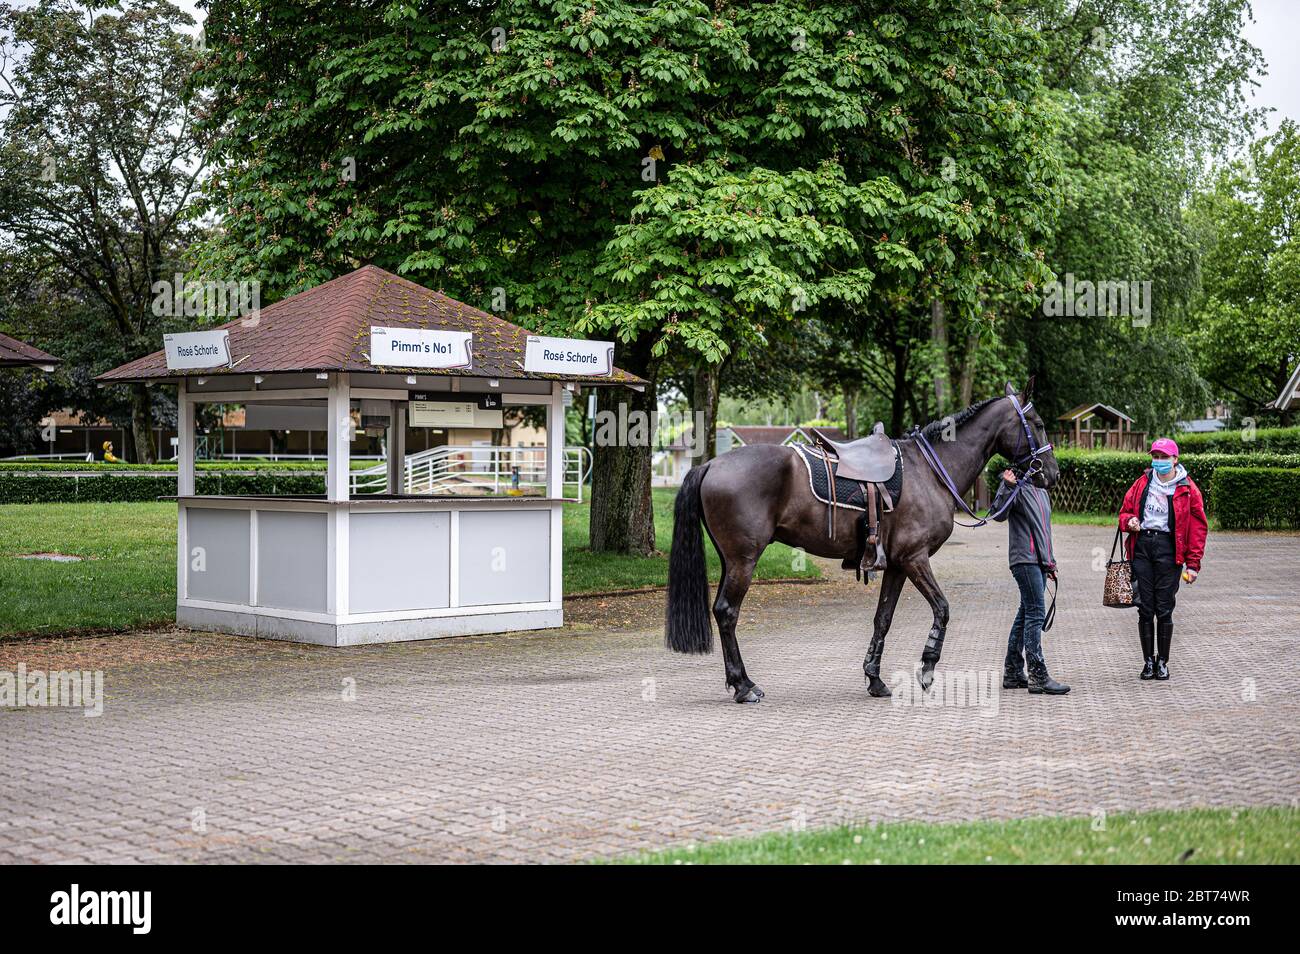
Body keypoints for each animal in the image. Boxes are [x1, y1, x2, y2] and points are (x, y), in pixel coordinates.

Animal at [670, 382, 1055, 701]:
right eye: (1036, 422)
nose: (1052, 472)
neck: (930, 472)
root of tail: (710, 465)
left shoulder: (898, 565)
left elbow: (882, 619)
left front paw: (875, 679)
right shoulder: (916, 559)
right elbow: (942, 609)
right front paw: (927, 668)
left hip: (729, 561)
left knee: (721, 611)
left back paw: (743, 682)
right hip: (743, 561)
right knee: (727, 612)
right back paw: (743, 686)